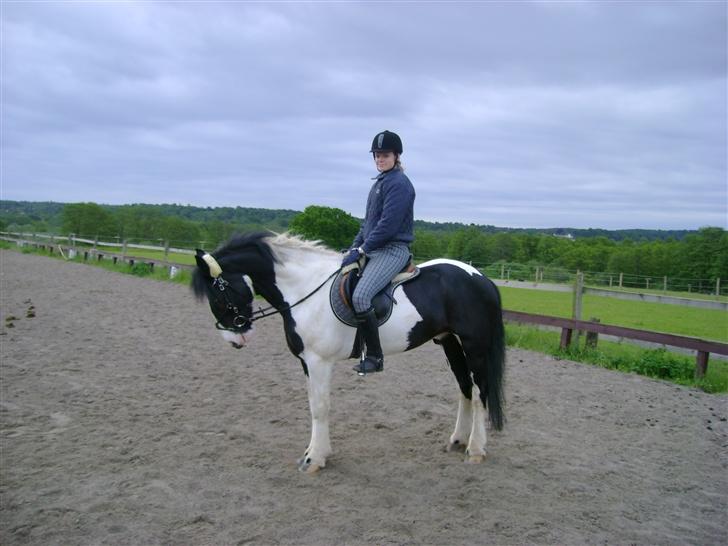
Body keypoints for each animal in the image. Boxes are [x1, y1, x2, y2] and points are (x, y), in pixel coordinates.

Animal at [191, 232, 504, 470]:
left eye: (217, 294)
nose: (235, 339)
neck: (305, 290)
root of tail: (481, 278)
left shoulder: (319, 361)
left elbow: (320, 407)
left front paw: (314, 459)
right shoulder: (307, 363)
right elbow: (313, 404)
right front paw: (314, 453)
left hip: (474, 346)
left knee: (480, 393)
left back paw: (476, 449)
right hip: (449, 342)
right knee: (464, 387)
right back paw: (457, 440)